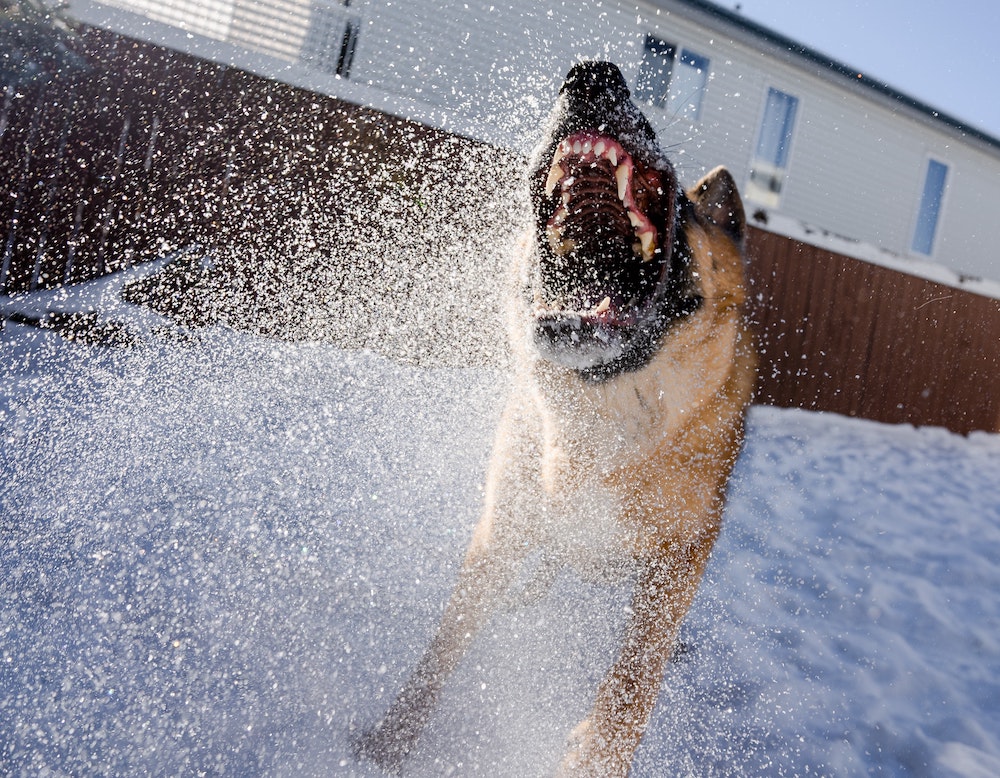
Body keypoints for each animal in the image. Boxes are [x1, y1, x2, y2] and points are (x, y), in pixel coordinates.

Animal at [356, 62, 752, 776]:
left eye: (681, 201)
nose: (594, 74)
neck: (601, 411)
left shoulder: (677, 560)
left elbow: (632, 681)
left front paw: (595, 750)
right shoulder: (505, 524)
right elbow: (445, 643)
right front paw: (390, 742)